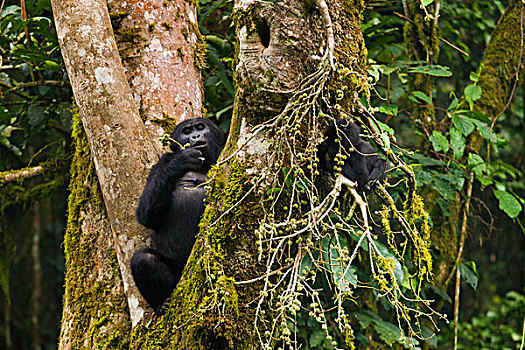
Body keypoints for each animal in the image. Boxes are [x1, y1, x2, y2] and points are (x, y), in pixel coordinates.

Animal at [130, 117, 223, 314]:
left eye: (200, 127)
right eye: (187, 131)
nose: (195, 136)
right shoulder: (161, 162)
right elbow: (146, 214)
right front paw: (182, 160)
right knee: (143, 259)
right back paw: (162, 303)